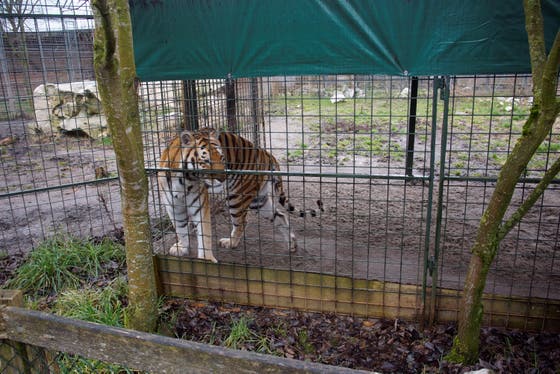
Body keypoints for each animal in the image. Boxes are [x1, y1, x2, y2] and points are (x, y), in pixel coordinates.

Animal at [158, 128, 298, 262]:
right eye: (206, 161)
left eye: (222, 158)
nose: (223, 178)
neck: (183, 181)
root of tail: (266, 153)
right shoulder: (173, 207)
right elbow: (180, 229)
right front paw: (182, 247)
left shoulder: (200, 206)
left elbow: (204, 234)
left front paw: (206, 260)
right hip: (258, 201)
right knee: (280, 216)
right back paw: (292, 244)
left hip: (236, 197)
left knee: (242, 222)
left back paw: (230, 242)